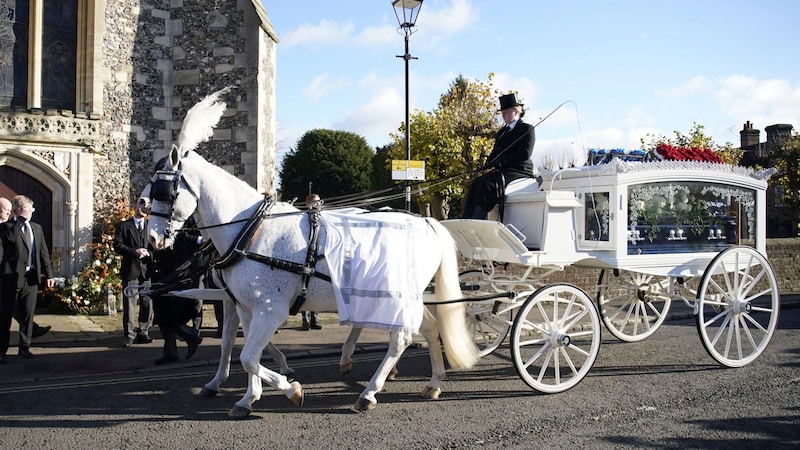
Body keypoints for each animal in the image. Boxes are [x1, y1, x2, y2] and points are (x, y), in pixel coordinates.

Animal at [143, 89, 478, 418]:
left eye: (162, 191)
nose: (152, 239)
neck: (250, 230)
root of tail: (424, 222)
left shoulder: (269, 309)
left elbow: (249, 356)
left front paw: (290, 388)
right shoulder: (245, 306)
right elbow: (243, 352)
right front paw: (249, 397)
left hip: (397, 295)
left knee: (402, 338)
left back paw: (369, 392)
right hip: (403, 295)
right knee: (429, 328)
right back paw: (432, 383)